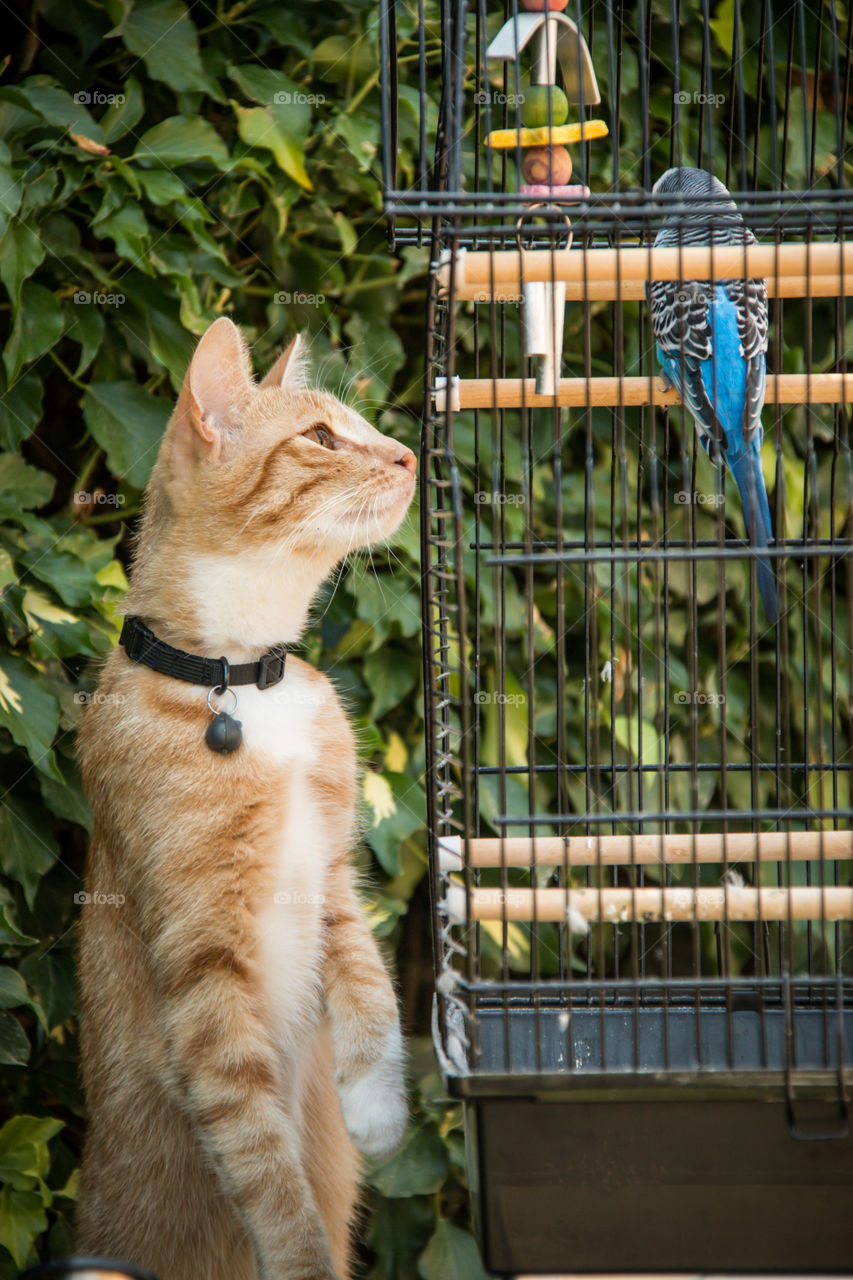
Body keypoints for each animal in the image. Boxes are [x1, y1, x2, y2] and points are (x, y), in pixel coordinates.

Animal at [74, 320, 412, 1280]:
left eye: (361, 428)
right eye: (323, 437)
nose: (409, 455)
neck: (239, 678)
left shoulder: (331, 871)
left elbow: (372, 987)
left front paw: (377, 1105)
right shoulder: (203, 967)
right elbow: (263, 1161)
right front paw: (299, 1256)